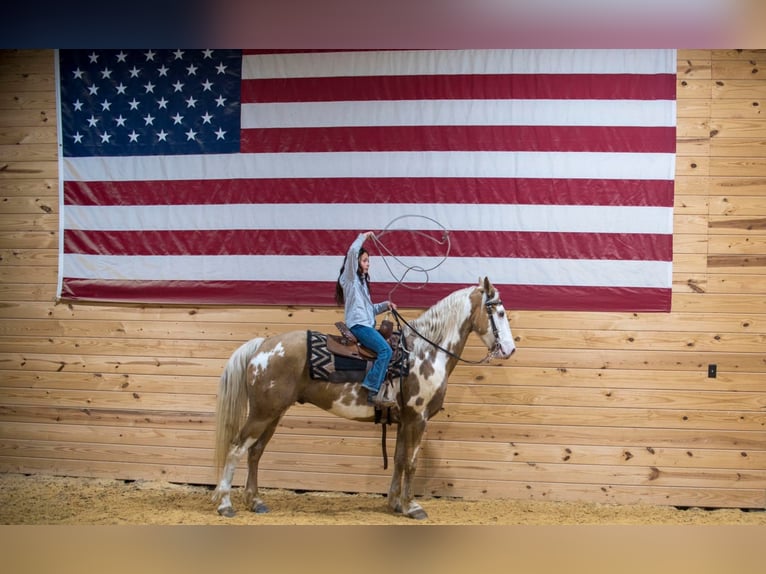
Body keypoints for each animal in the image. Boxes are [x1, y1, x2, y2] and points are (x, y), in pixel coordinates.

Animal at [213, 278, 520, 520]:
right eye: (500, 312)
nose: (509, 349)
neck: (424, 352)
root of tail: (263, 345)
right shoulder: (417, 419)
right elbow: (412, 462)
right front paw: (412, 507)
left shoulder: (403, 420)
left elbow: (399, 459)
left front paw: (395, 503)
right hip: (262, 413)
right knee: (236, 448)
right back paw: (226, 504)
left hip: (274, 413)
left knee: (255, 452)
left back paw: (255, 501)